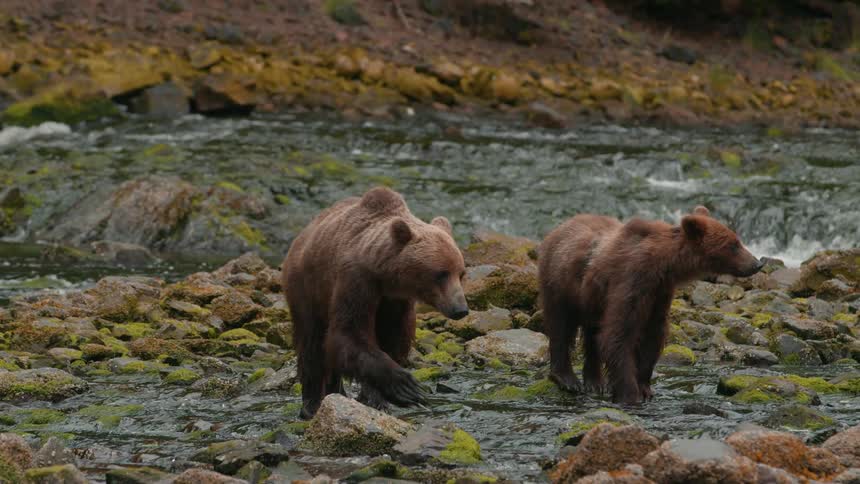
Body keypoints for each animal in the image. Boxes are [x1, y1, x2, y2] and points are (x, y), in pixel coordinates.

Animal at [282, 186, 469, 419]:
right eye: (441, 274)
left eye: (461, 273)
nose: (460, 309)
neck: (385, 277)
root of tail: (302, 235)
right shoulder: (356, 282)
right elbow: (349, 333)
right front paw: (405, 386)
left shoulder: (396, 302)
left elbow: (392, 339)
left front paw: (377, 397)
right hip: (307, 289)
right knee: (312, 343)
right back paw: (312, 404)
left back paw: (337, 392)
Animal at [538, 206, 763, 404]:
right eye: (733, 244)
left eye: (738, 241)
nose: (757, 263)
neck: (663, 265)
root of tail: (558, 228)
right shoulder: (631, 281)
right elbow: (619, 334)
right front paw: (629, 395)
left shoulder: (660, 293)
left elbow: (653, 335)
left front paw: (645, 388)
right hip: (560, 282)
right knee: (560, 327)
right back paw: (567, 379)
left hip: (591, 299)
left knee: (593, 333)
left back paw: (595, 382)